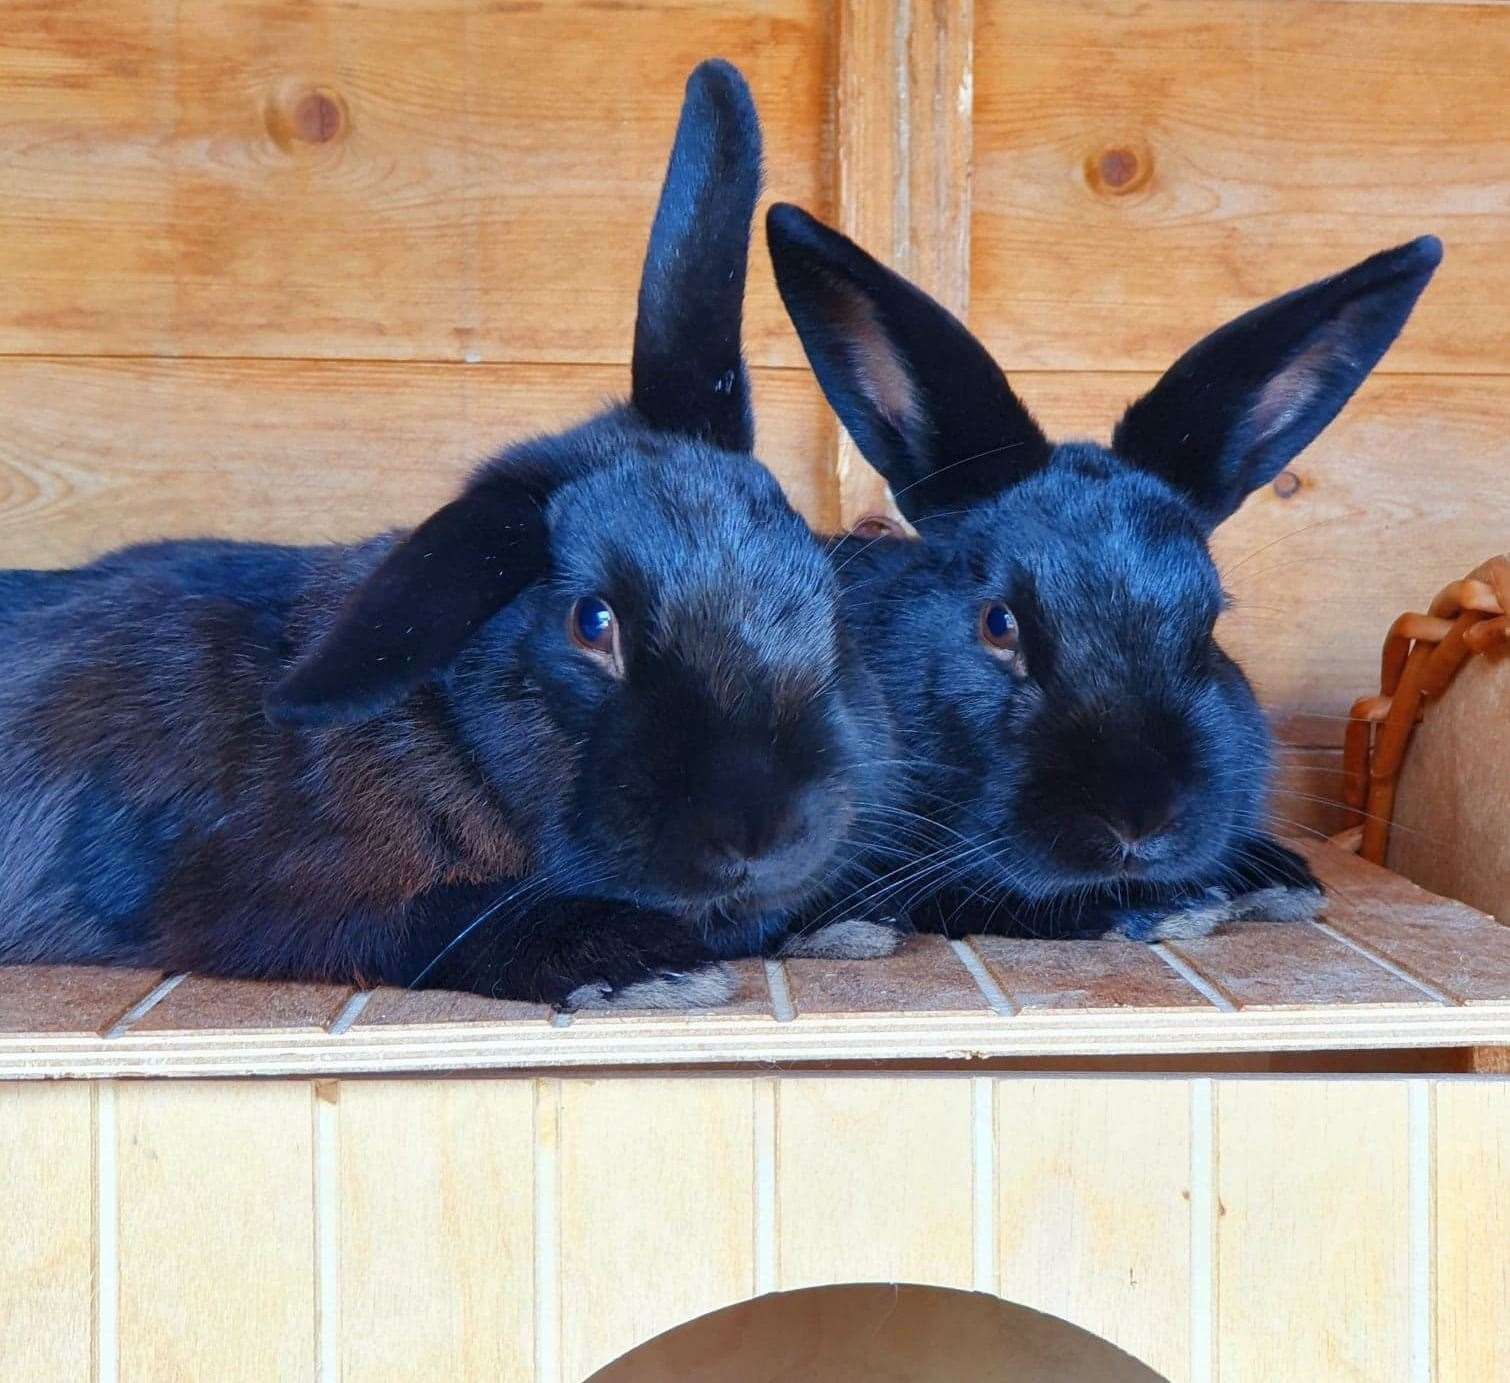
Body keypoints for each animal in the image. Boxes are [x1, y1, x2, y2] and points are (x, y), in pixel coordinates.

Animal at [0, 64, 893, 1002]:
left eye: (822, 589)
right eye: (592, 623)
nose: (768, 831)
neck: (452, 735)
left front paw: (841, 925)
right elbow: (445, 918)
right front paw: (656, 965)